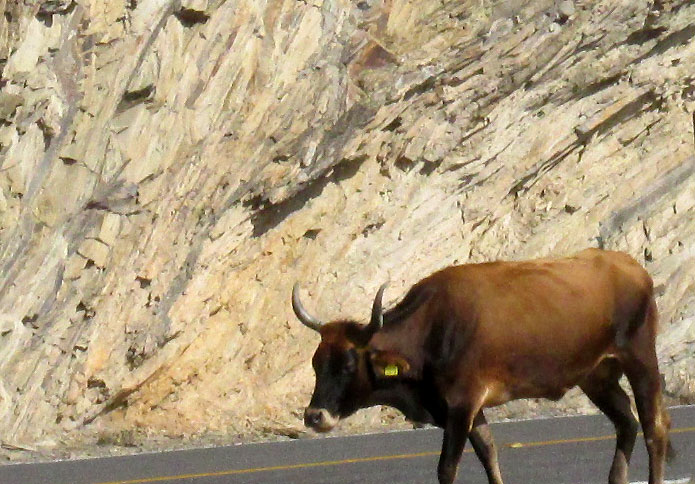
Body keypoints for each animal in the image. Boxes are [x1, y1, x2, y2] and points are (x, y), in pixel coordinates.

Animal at [294, 250, 676, 484]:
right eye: (316, 363)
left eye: (347, 363)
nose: (314, 416)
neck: (433, 328)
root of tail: (629, 264)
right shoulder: (468, 408)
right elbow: (489, 454)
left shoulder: (462, 404)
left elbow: (447, 468)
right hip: (597, 375)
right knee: (626, 422)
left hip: (641, 359)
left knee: (653, 428)